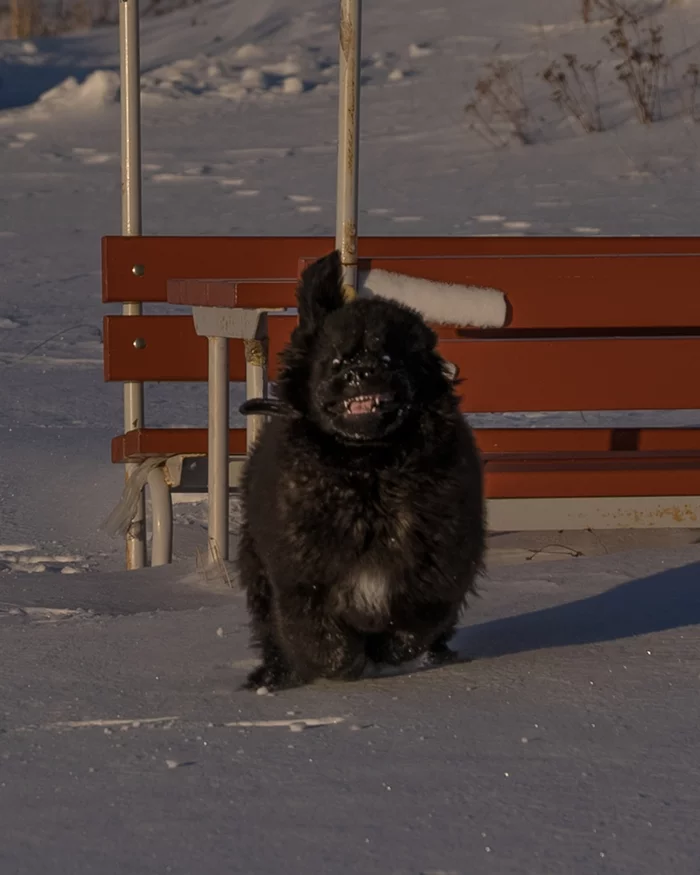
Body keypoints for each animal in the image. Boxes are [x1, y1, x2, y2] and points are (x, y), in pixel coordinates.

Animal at [238, 250, 484, 688]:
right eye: (335, 361)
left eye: (388, 358)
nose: (359, 373)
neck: (369, 472)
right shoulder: (300, 574)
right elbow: (319, 636)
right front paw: (343, 667)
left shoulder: (441, 563)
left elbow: (418, 621)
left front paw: (388, 652)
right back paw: (273, 677)